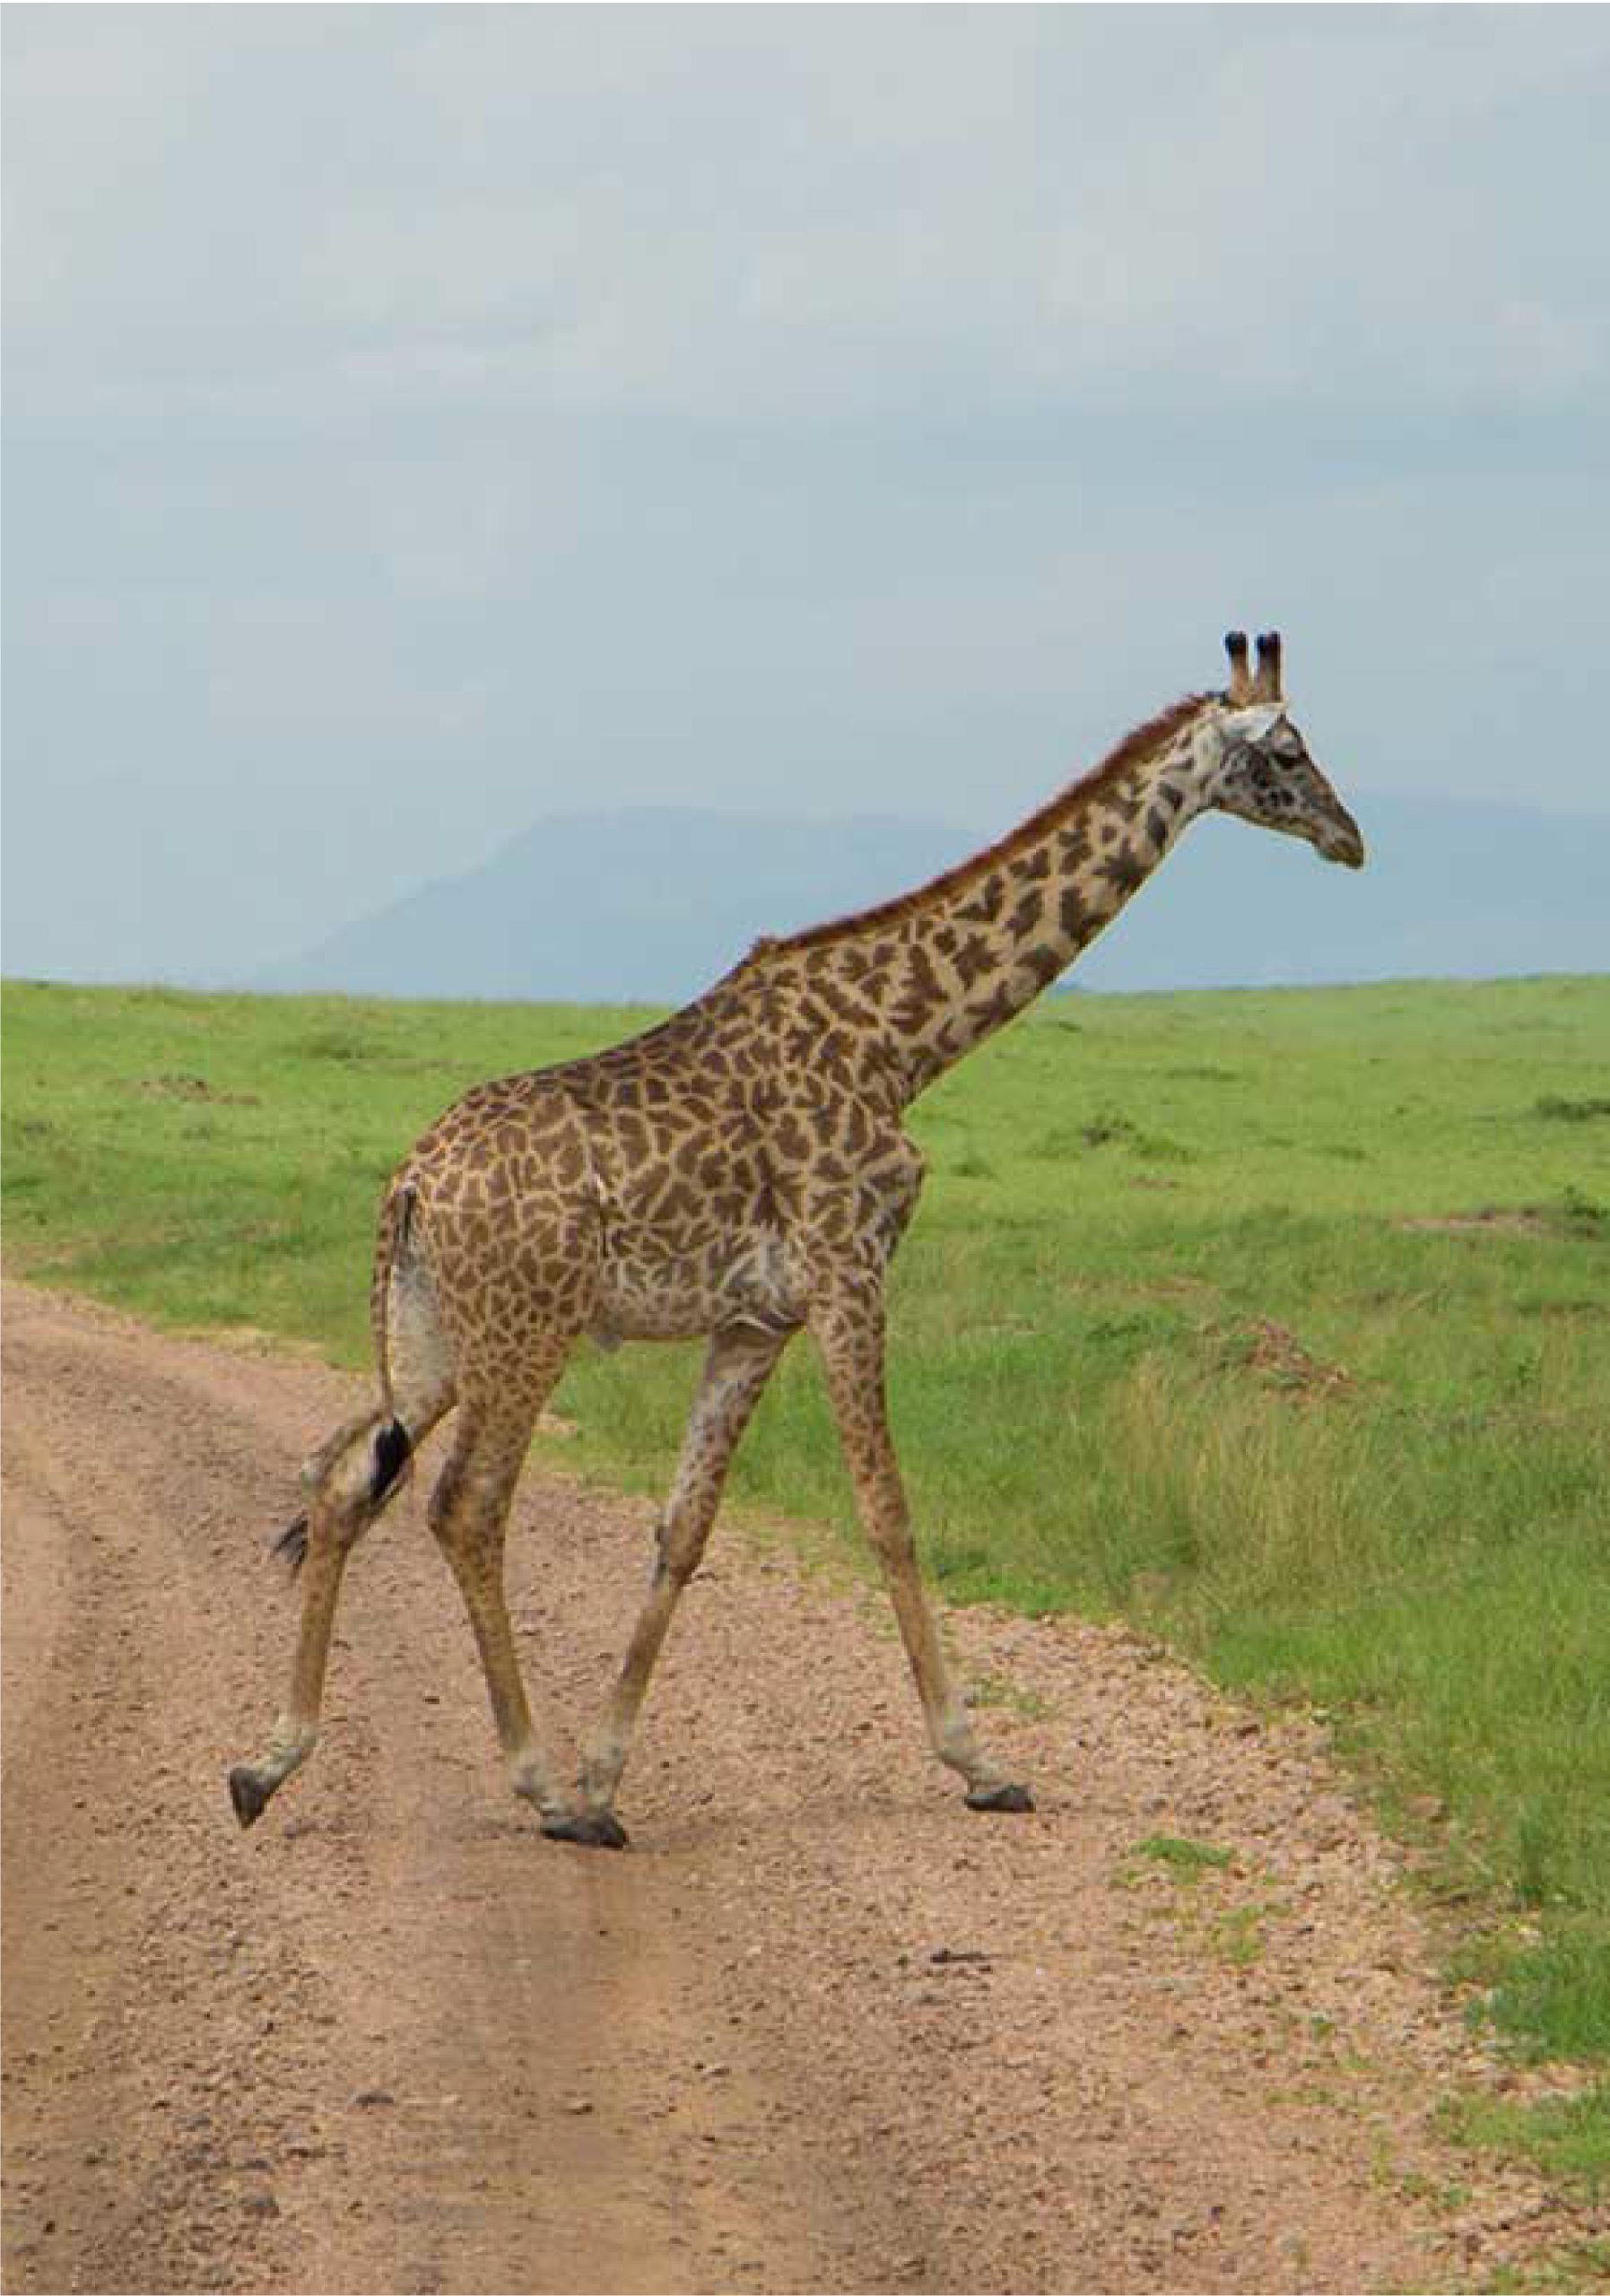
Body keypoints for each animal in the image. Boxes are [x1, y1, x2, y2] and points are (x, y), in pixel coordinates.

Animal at [229, 630, 1364, 1849]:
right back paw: (533, 1784)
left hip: (433, 1338)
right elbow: (888, 1511)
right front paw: (978, 1762)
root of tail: (409, 1183)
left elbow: (683, 1528)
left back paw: (270, 1763)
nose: (1349, 838)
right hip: (525, 1332)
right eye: (1287, 751)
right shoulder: (849, 1269)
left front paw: (608, 1770)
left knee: (344, 1480)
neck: (903, 1040)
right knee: (465, 1506)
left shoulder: (754, 1317)